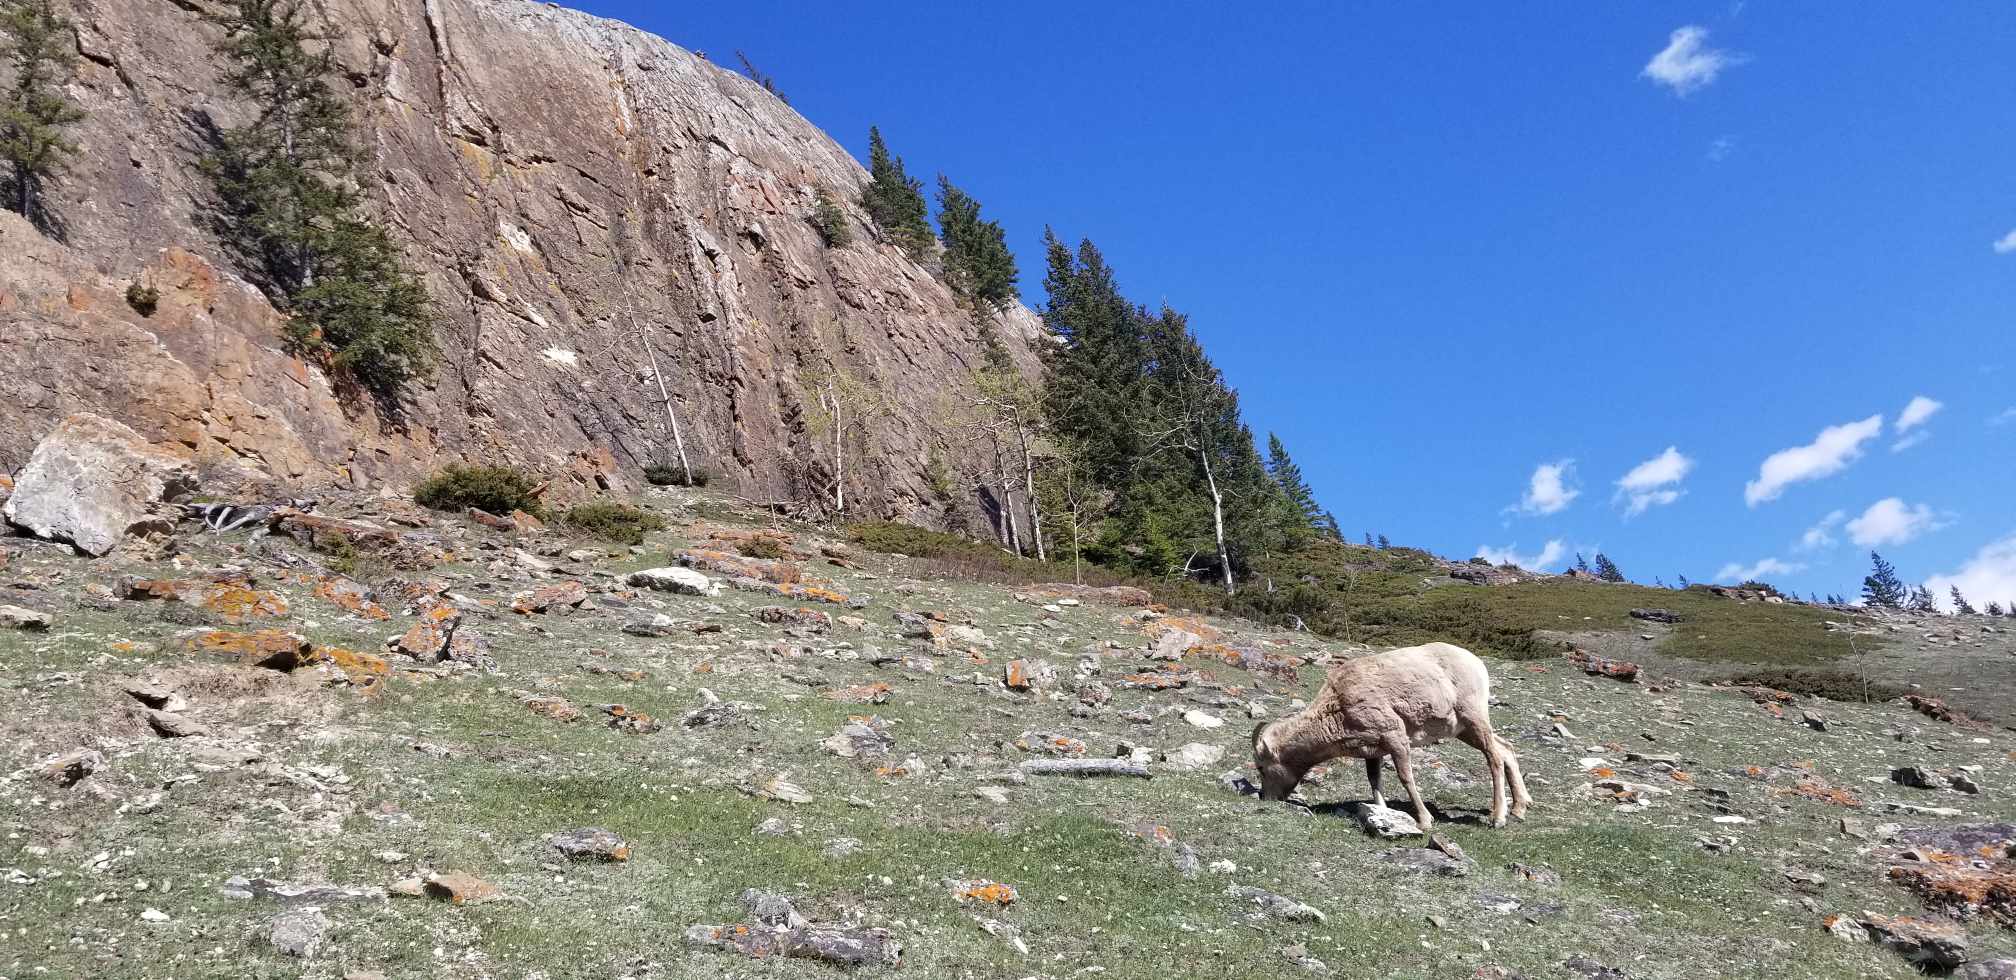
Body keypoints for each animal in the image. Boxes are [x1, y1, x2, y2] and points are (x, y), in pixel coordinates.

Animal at [1241, 641, 1524, 826]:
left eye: (1261, 768)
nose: (1267, 798)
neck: (1339, 703)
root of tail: (1476, 662)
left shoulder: (1395, 736)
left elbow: (1405, 777)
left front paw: (1424, 821)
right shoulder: (1373, 750)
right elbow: (1374, 781)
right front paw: (1382, 814)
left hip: (1473, 717)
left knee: (1494, 757)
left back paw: (1498, 818)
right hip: (1463, 729)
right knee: (1505, 748)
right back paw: (1519, 809)